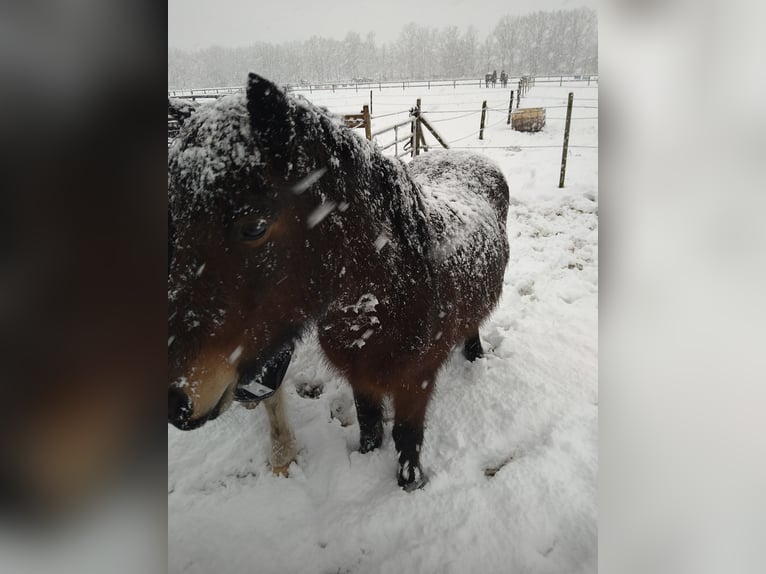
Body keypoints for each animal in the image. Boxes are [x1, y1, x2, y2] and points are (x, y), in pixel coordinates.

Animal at [167, 73, 510, 490]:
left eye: (254, 226)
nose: (176, 400)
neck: (385, 304)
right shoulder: (359, 377)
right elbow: (369, 425)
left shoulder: (416, 383)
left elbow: (407, 438)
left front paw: (410, 484)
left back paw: (474, 355)